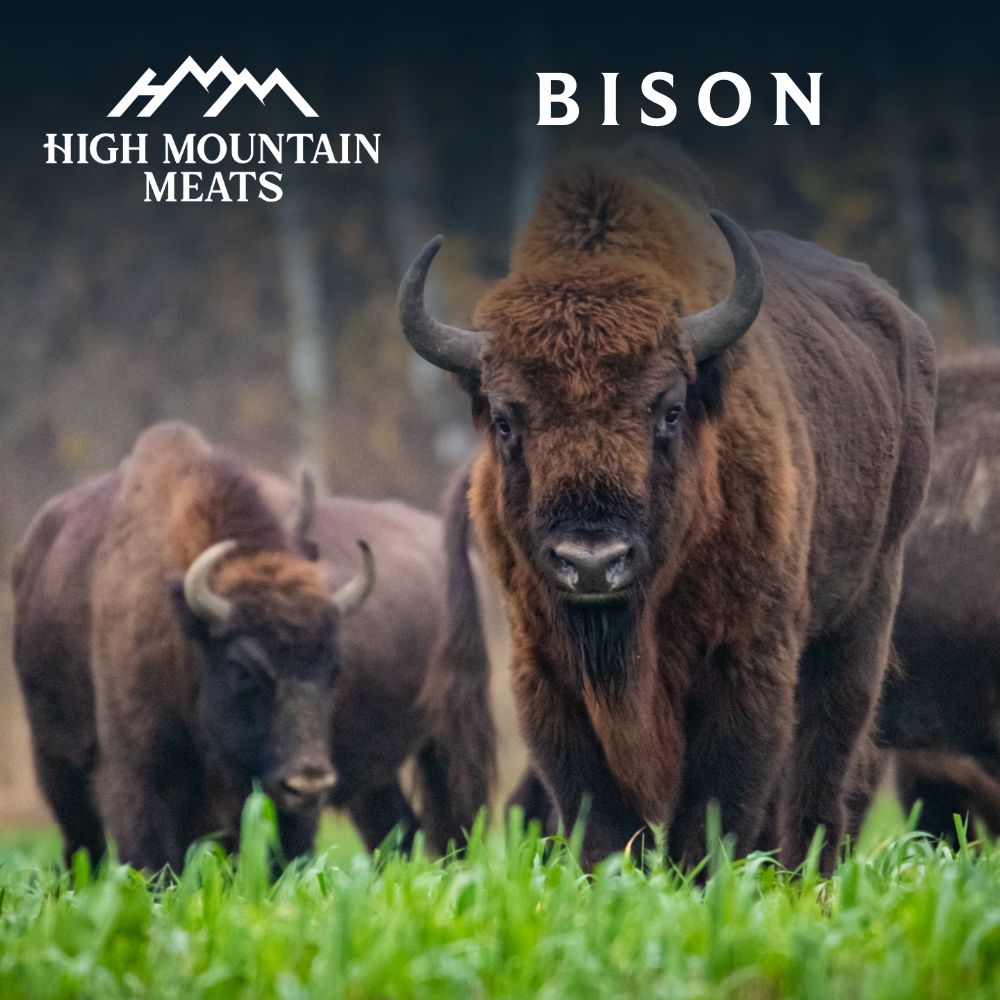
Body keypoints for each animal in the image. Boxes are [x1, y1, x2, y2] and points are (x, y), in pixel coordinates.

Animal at [399, 141, 936, 871]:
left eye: (670, 408)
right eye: (506, 420)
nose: (592, 563)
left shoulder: (745, 664)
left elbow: (711, 813)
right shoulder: (545, 675)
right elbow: (598, 818)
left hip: (860, 616)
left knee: (822, 769)